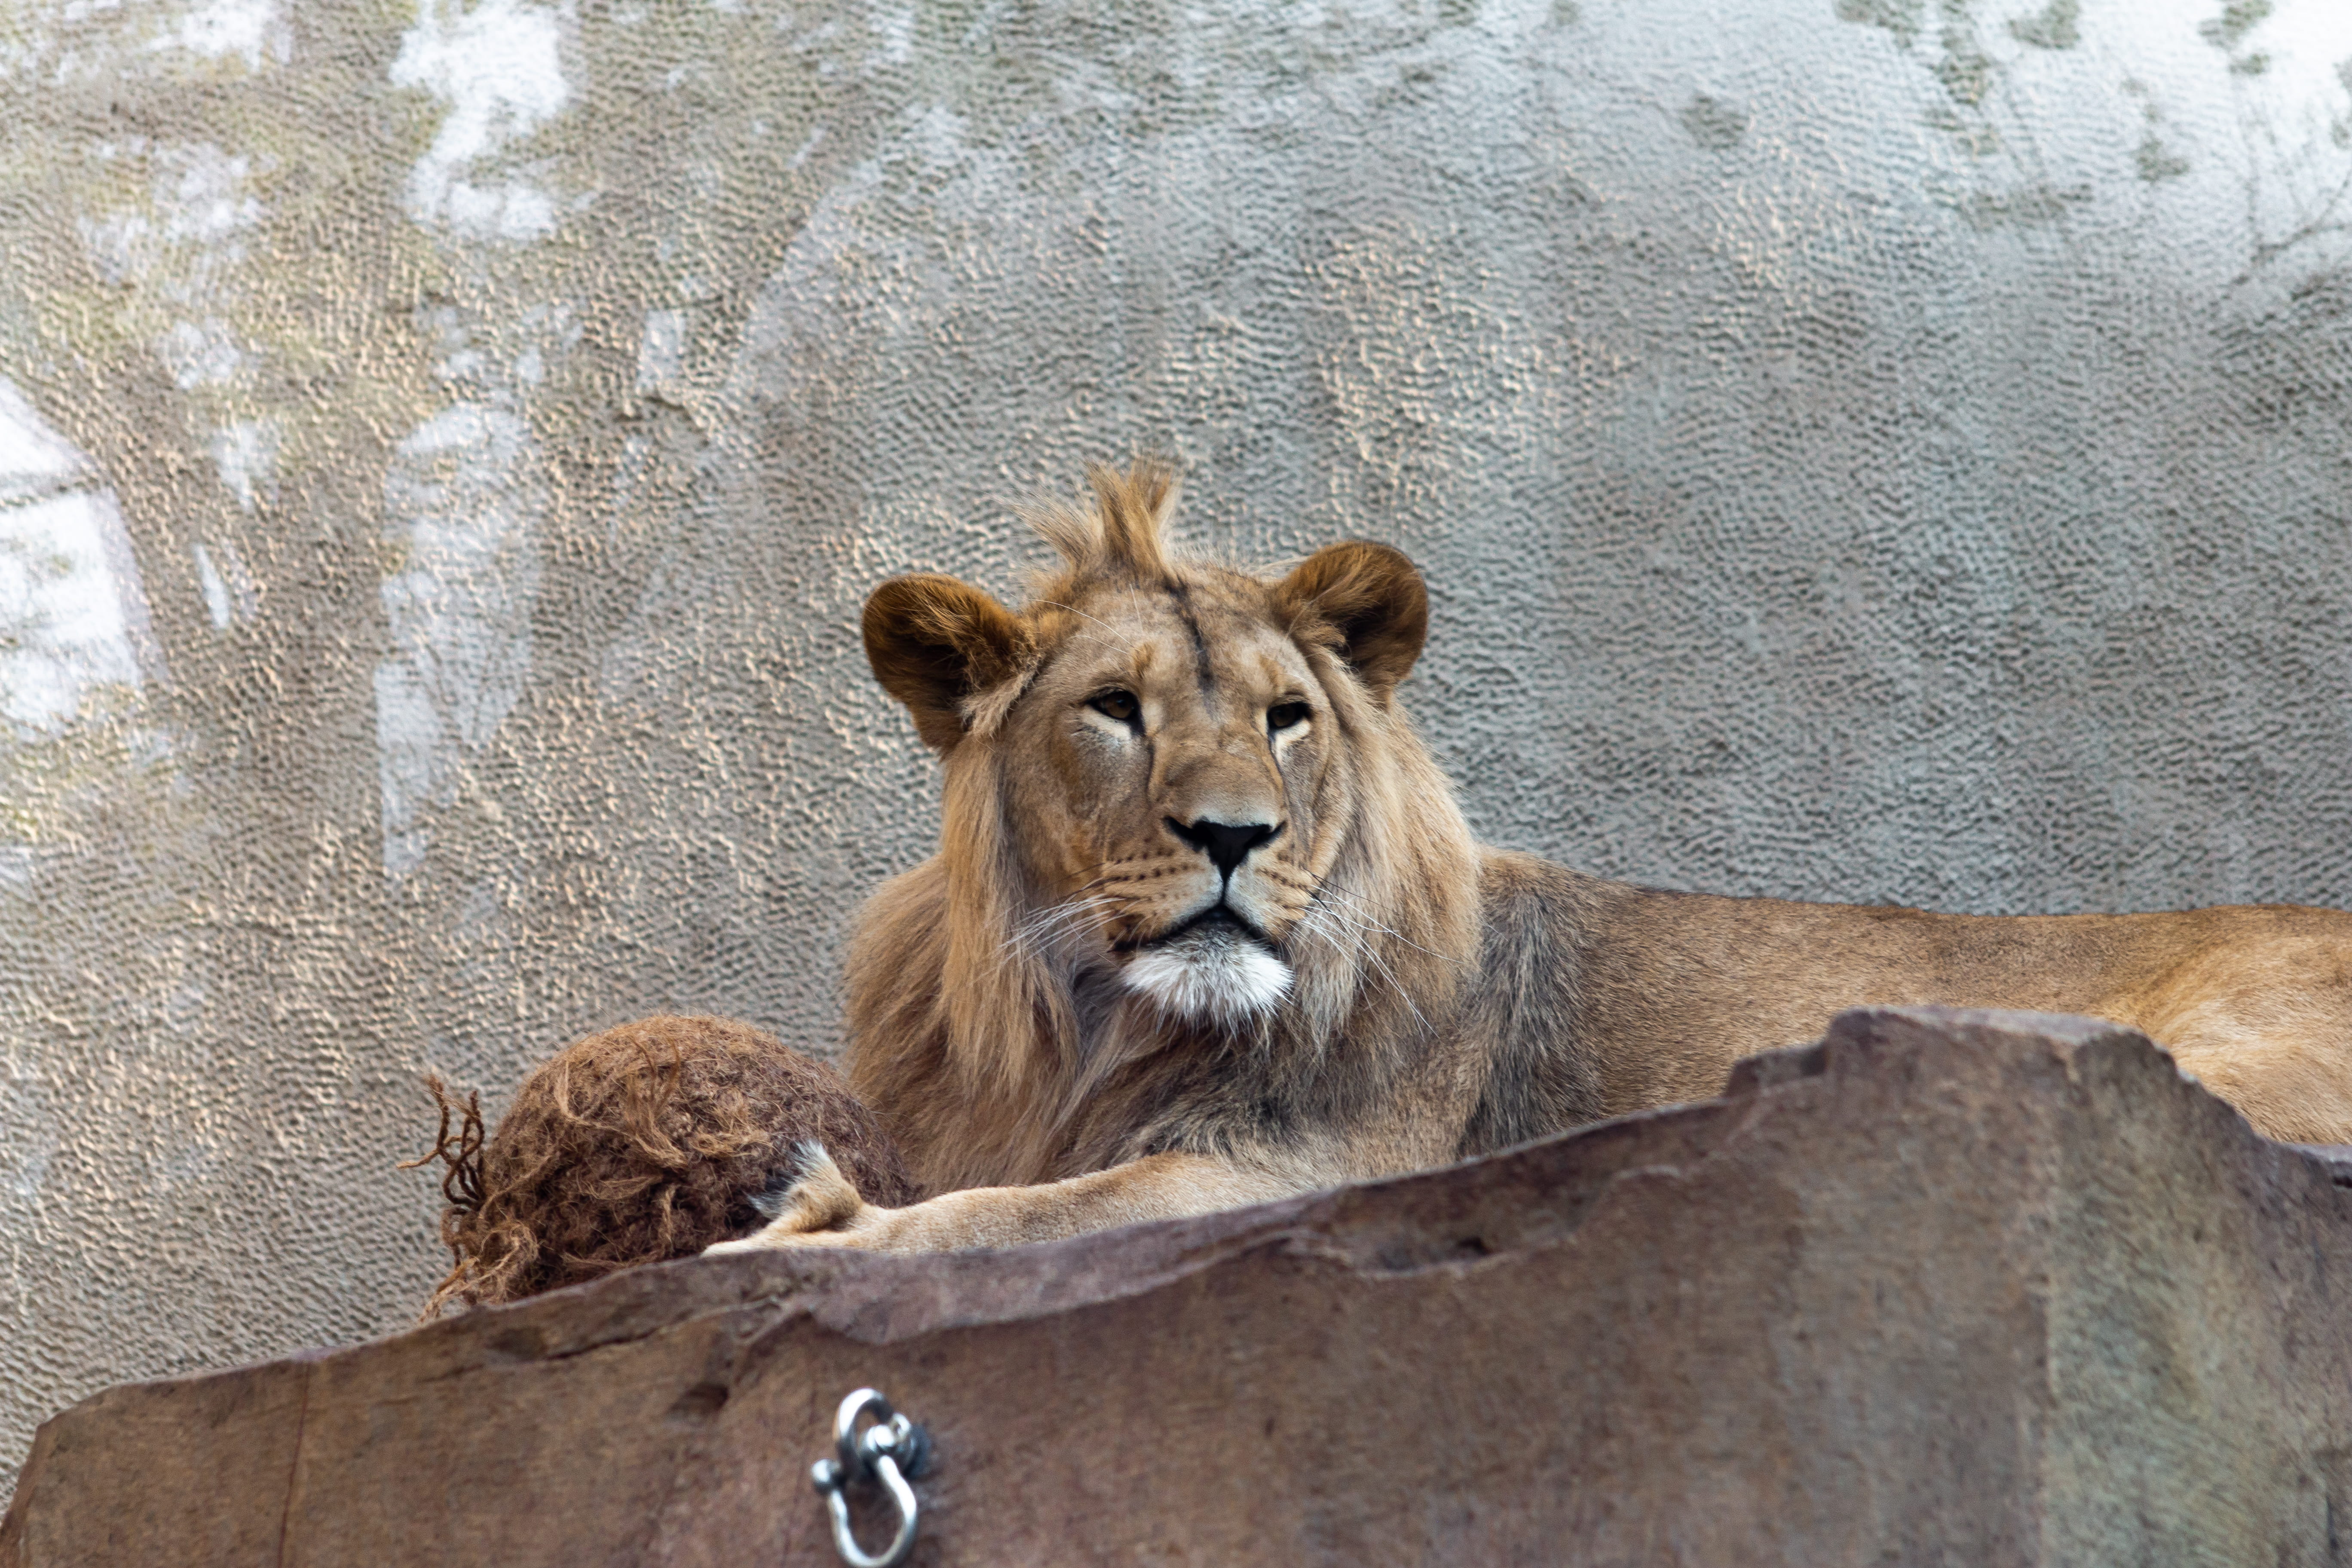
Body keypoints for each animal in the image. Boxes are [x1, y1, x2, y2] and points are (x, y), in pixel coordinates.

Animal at [708, 458, 2352, 1257]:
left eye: (1288, 717)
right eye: (1115, 709)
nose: (1234, 835)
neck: (1089, 1027)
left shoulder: (1308, 1173)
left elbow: (1024, 1215)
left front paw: (822, 1221)